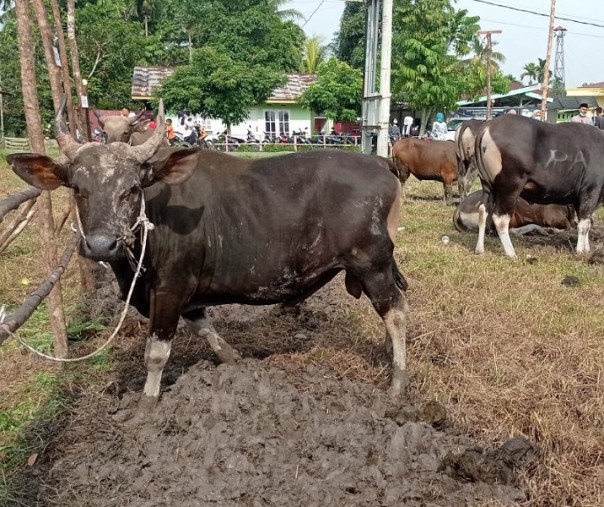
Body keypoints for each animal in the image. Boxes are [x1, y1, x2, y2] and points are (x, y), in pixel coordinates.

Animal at [5, 100, 410, 412]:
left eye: (131, 188)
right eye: (77, 188)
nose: (102, 245)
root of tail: (382, 164)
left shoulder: (169, 288)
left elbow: (157, 351)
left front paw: (147, 405)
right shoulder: (185, 293)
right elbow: (203, 326)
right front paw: (234, 361)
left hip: (371, 263)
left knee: (395, 311)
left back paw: (397, 381)